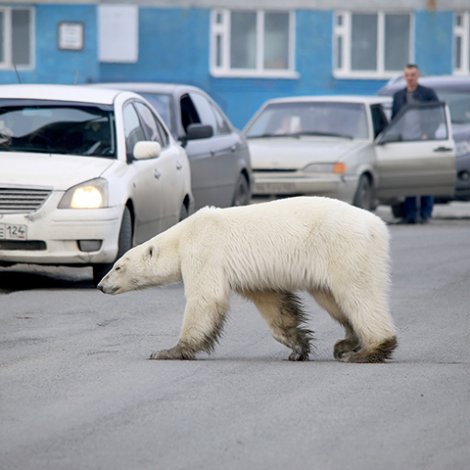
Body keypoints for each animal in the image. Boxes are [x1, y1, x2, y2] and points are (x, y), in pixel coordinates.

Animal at [98, 196, 396, 362]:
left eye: (118, 267)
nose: (101, 286)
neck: (182, 236)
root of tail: (378, 225)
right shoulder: (254, 275)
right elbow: (272, 302)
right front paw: (297, 346)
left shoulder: (204, 250)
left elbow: (206, 298)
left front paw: (169, 351)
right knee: (334, 298)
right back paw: (346, 343)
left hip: (345, 247)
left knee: (358, 294)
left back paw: (370, 351)